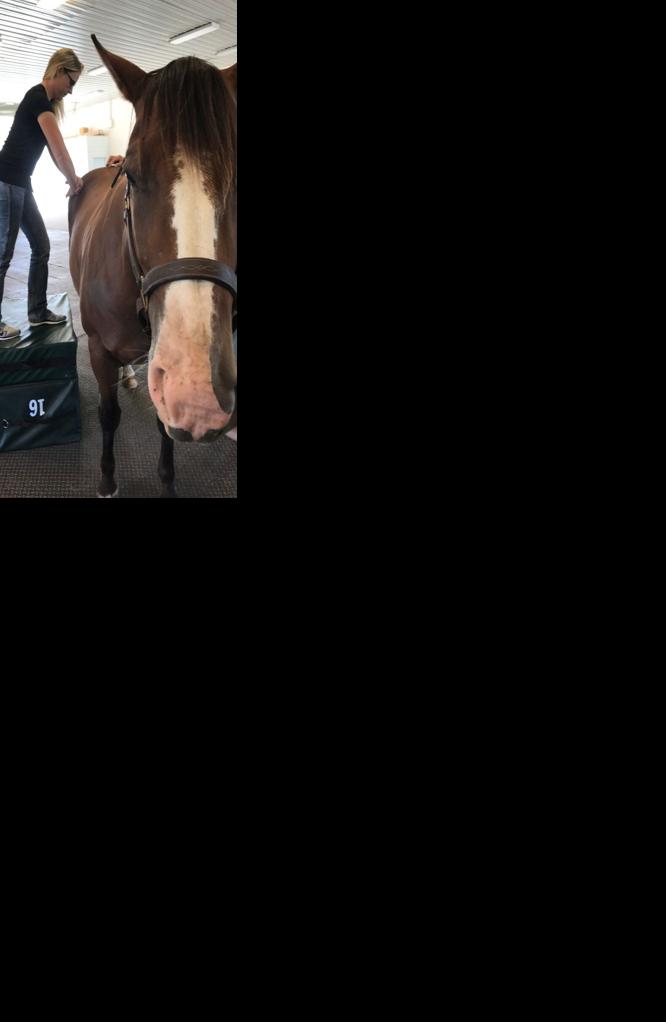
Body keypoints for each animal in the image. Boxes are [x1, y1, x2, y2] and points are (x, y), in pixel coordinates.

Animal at [68, 35, 237, 497]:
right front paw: (108, 479)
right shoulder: (97, 349)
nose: (197, 395)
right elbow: (109, 415)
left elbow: (165, 428)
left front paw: (167, 482)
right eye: (132, 173)